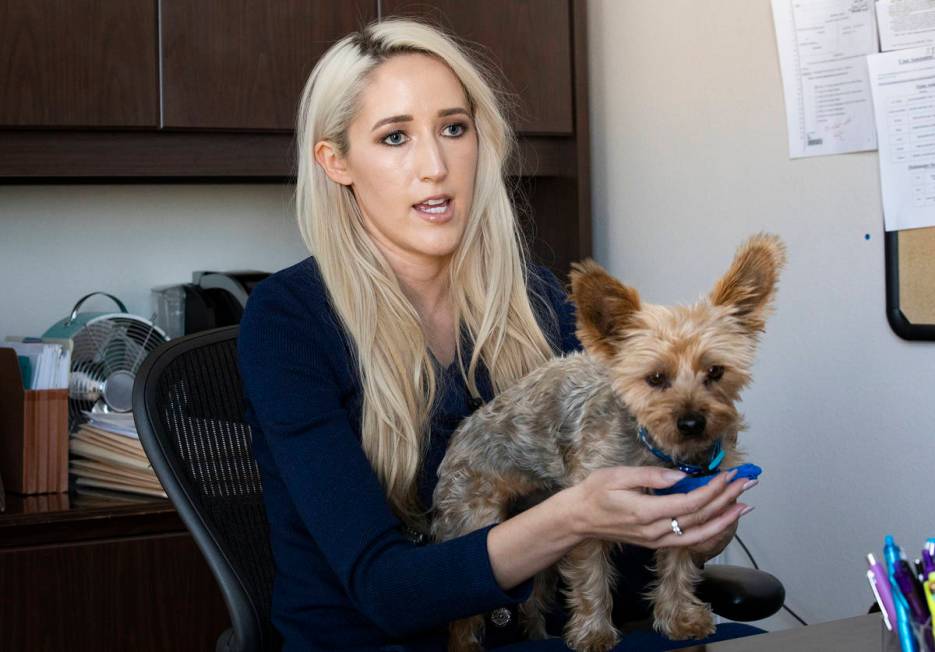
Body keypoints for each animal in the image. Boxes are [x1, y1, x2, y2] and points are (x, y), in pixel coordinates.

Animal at [436, 234, 788, 652]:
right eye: (655, 378)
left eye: (716, 371)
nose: (692, 423)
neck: (662, 451)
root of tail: (460, 434)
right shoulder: (585, 518)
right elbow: (591, 578)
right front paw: (593, 633)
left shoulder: (683, 507)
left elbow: (678, 565)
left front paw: (679, 619)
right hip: (475, 517)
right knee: (463, 616)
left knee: (533, 600)